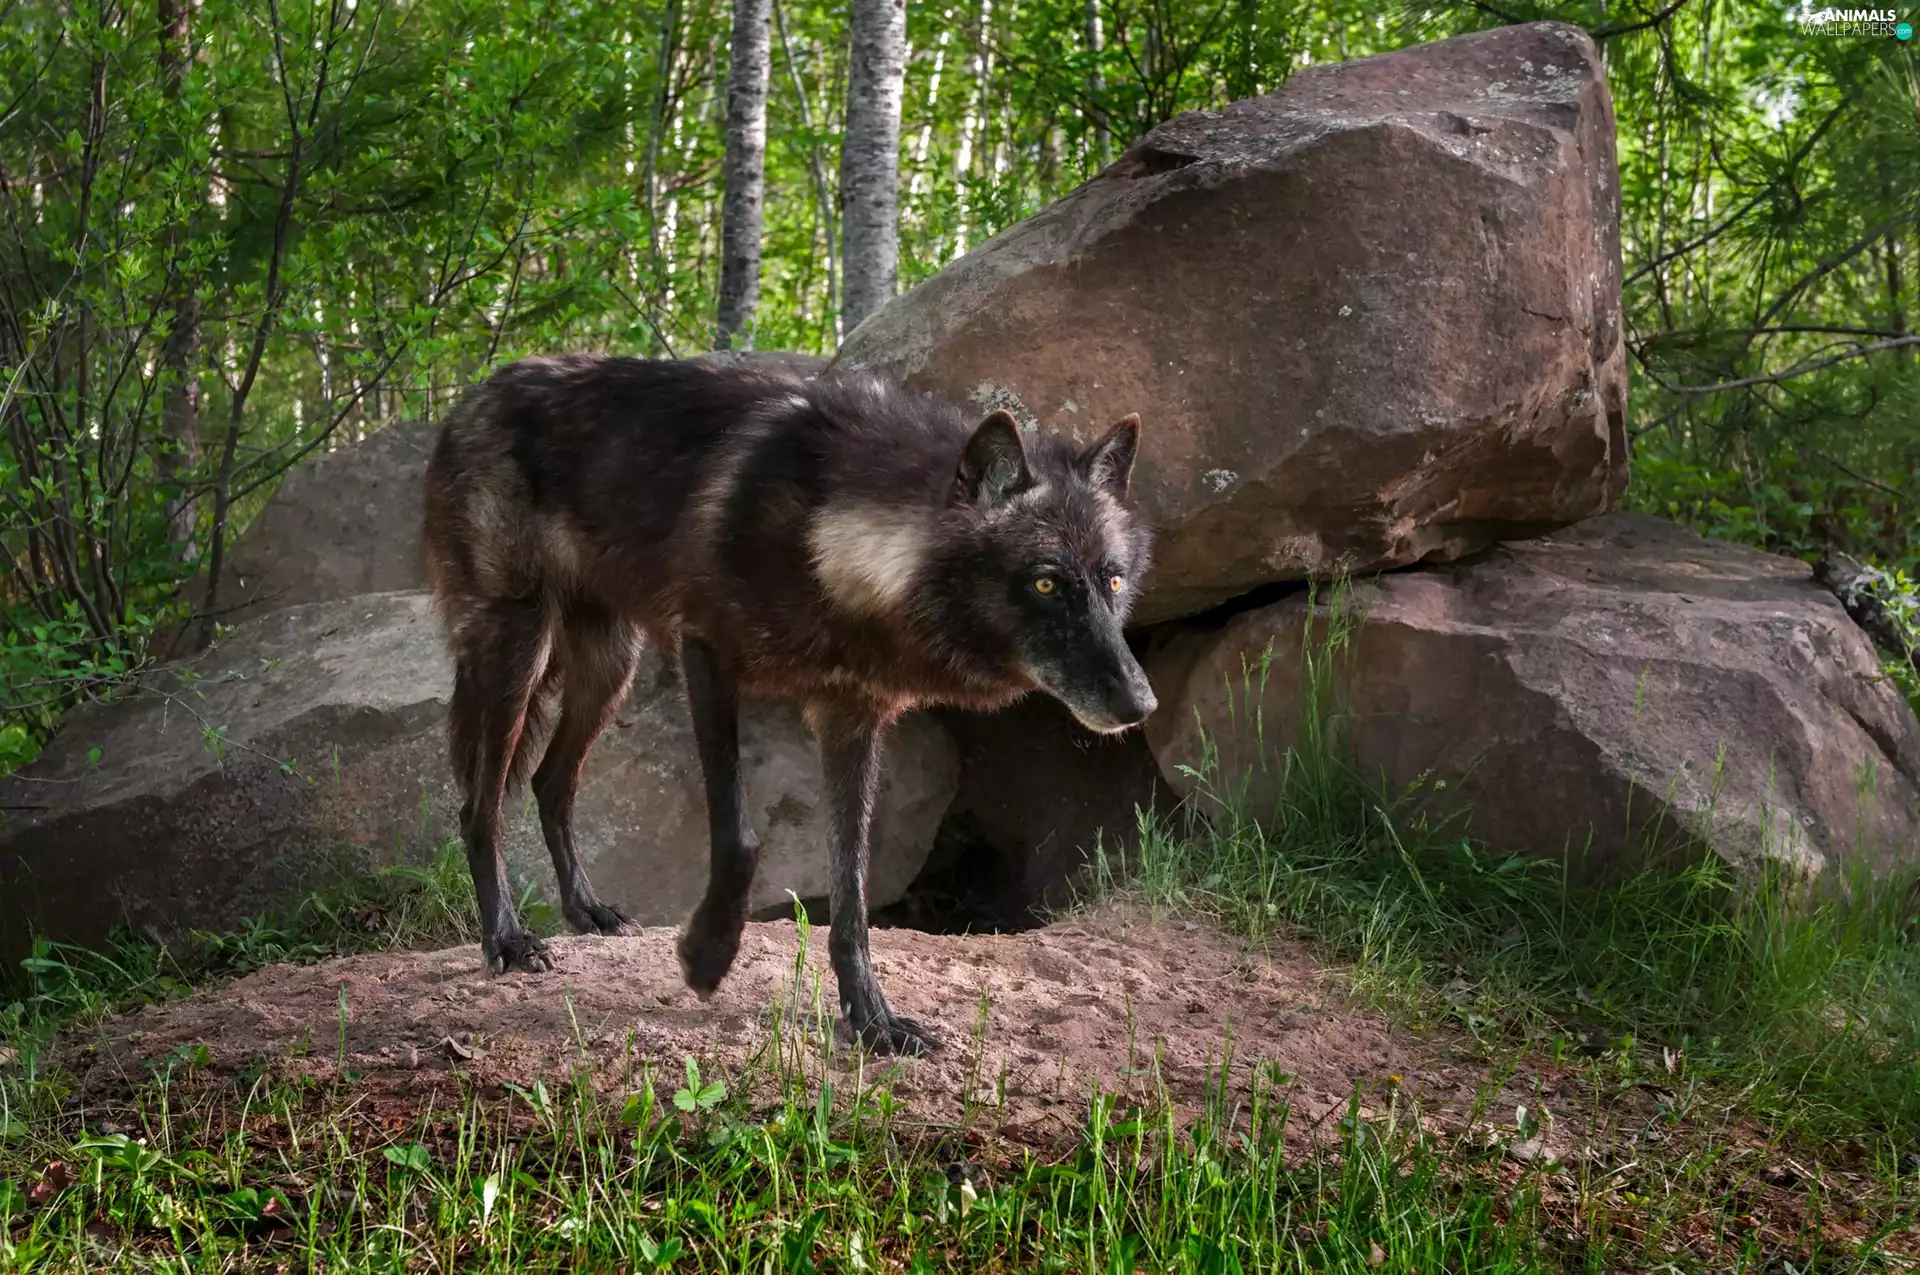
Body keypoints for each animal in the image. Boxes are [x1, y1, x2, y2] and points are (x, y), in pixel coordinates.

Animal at [421, 354, 1157, 1055]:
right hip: (519, 647)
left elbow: (853, 892)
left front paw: (871, 1017)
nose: (1141, 703)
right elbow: (741, 840)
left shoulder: (852, 719)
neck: (829, 544)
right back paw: (507, 938)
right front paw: (705, 957)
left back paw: (587, 912)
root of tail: (475, 394)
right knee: (480, 805)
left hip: (610, 667)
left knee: (551, 782)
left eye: (1114, 581)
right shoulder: (706, 652)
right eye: (1046, 583)